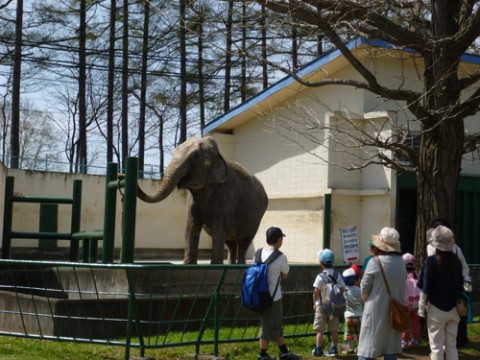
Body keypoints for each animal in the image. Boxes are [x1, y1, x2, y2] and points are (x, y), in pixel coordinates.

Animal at [137, 136, 268, 264]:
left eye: (195, 157)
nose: (135, 158)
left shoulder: (227, 198)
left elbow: (218, 231)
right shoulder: (193, 203)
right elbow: (191, 228)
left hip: (256, 219)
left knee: (244, 242)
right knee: (230, 242)